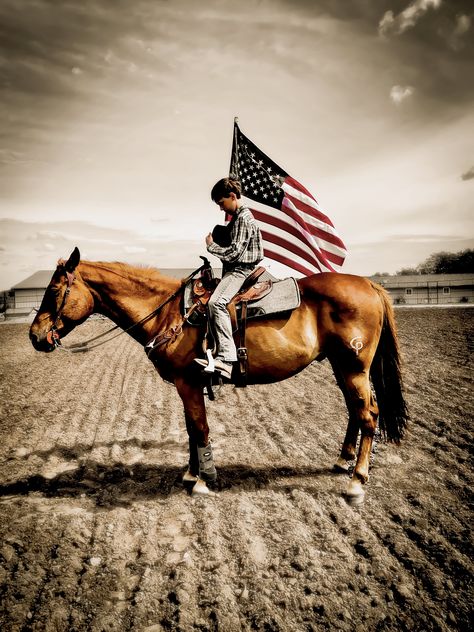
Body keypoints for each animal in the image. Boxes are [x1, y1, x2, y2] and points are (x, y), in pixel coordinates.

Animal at [28, 249, 408, 502]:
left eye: (54, 291)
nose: (35, 335)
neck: (169, 313)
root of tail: (370, 286)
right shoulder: (187, 384)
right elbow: (190, 428)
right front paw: (190, 473)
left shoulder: (187, 383)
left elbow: (199, 427)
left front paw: (203, 479)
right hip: (341, 366)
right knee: (356, 411)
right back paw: (343, 461)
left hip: (354, 367)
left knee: (368, 415)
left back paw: (356, 482)